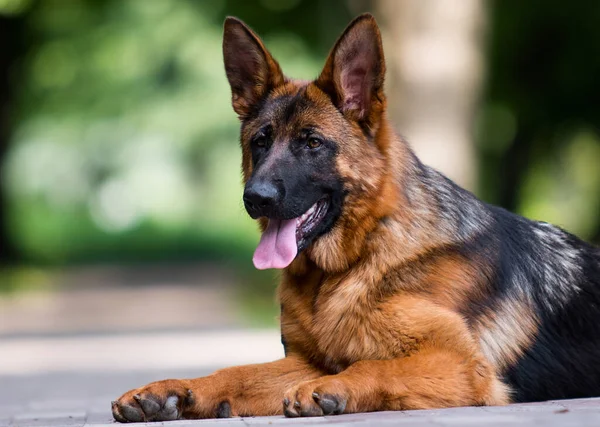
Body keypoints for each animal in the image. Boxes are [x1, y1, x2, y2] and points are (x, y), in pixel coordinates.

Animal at [112, 12, 600, 422]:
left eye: (312, 143)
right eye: (260, 142)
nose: (256, 198)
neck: (352, 262)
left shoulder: (460, 363)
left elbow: (374, 366)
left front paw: (336, 389)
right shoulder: (306, 361)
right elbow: (235, 372)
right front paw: (172, 390)